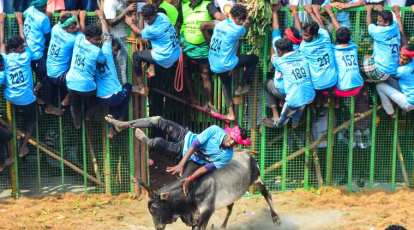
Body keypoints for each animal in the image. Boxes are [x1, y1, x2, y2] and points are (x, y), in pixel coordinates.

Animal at [139, 151, 282, 230]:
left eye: (154, 208)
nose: (158, 227)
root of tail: (246, 153)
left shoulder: (206, 212)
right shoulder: (194, 216)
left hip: (257, 179)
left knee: (267, 194)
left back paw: (276, 219)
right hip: (231, 194)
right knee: (230, 208)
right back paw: (223, 226)